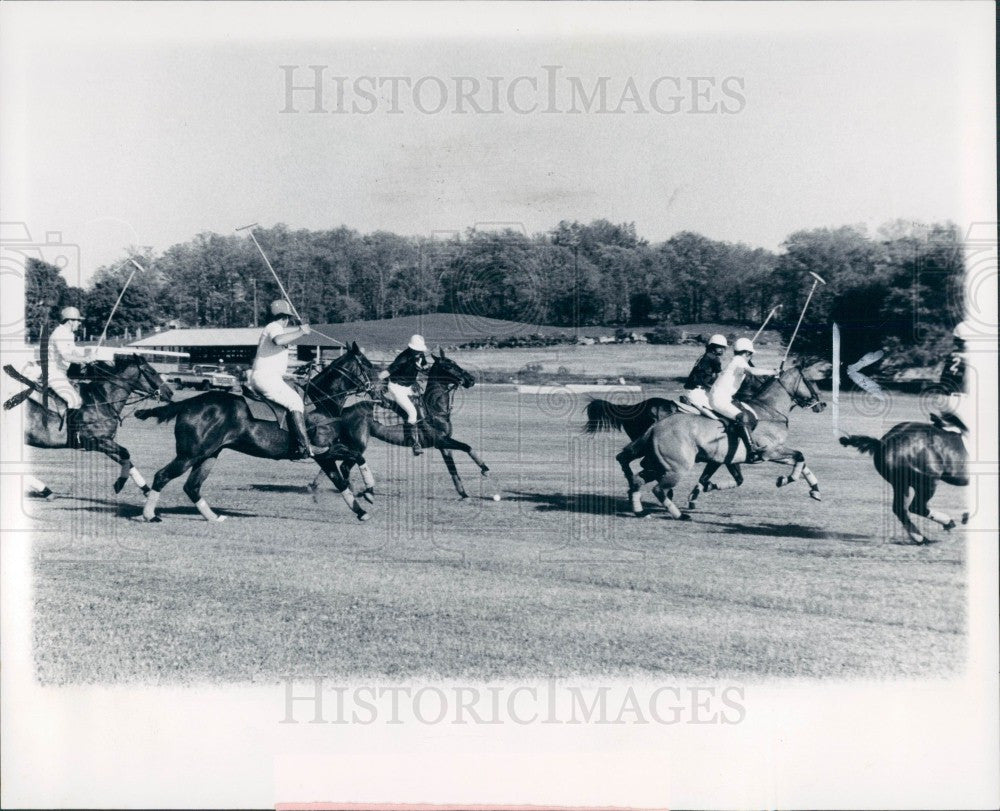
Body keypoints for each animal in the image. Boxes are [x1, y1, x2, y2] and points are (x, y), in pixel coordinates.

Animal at [3, 354, 172, 494]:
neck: (103, 401)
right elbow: (126, 453)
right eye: (151, 371)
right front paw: (120, 484)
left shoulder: (105, 442)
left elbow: (126, 460)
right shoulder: (96, 441)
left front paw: (146, 491)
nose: (169, 393)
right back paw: (44, 490)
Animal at [135, 340, 380, 520]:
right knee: (162, 476)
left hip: (209, 454)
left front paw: (361, 511)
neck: (322, 401)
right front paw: (369, 492)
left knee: (192, 486)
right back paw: (150, 515)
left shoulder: (324, 455)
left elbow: (340, 480)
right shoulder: (323, 450)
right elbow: (357, 456)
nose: (380, 390)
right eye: (368, 365)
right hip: (190, 454)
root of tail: (188, 403)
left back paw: (213, 517)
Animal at [306, 348, 490, 502]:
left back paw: (323, 485)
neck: (434, 409)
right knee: (345, 465)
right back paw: (360, 491)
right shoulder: (440, 441)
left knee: (334, 462)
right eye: (449, 366)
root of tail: (342, 411)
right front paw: (485, 469)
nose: (471, 379)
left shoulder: (444, 446)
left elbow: (453, 470)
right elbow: (467, 447)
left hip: (347, 442)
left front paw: (464, 494)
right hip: (359, 443)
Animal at [616, 364, 828, 516]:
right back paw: (678, 514)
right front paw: (786, 479)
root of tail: (656, 427)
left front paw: (815, 490)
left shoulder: (740, 458)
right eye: (811, 381)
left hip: (661, 463)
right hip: (677, 467)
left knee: (636, 477)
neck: (769, 411)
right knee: (656, 487)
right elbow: (800, 456)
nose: (822, 405)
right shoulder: (770, 451)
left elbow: (800, 461)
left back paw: (640, 510)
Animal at [836, 418, 968, 544]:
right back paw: (946, 524)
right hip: (928, 482)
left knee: (900, 509)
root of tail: (885, 442)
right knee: (917, 507)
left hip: (900, 484)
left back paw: (921, 539)